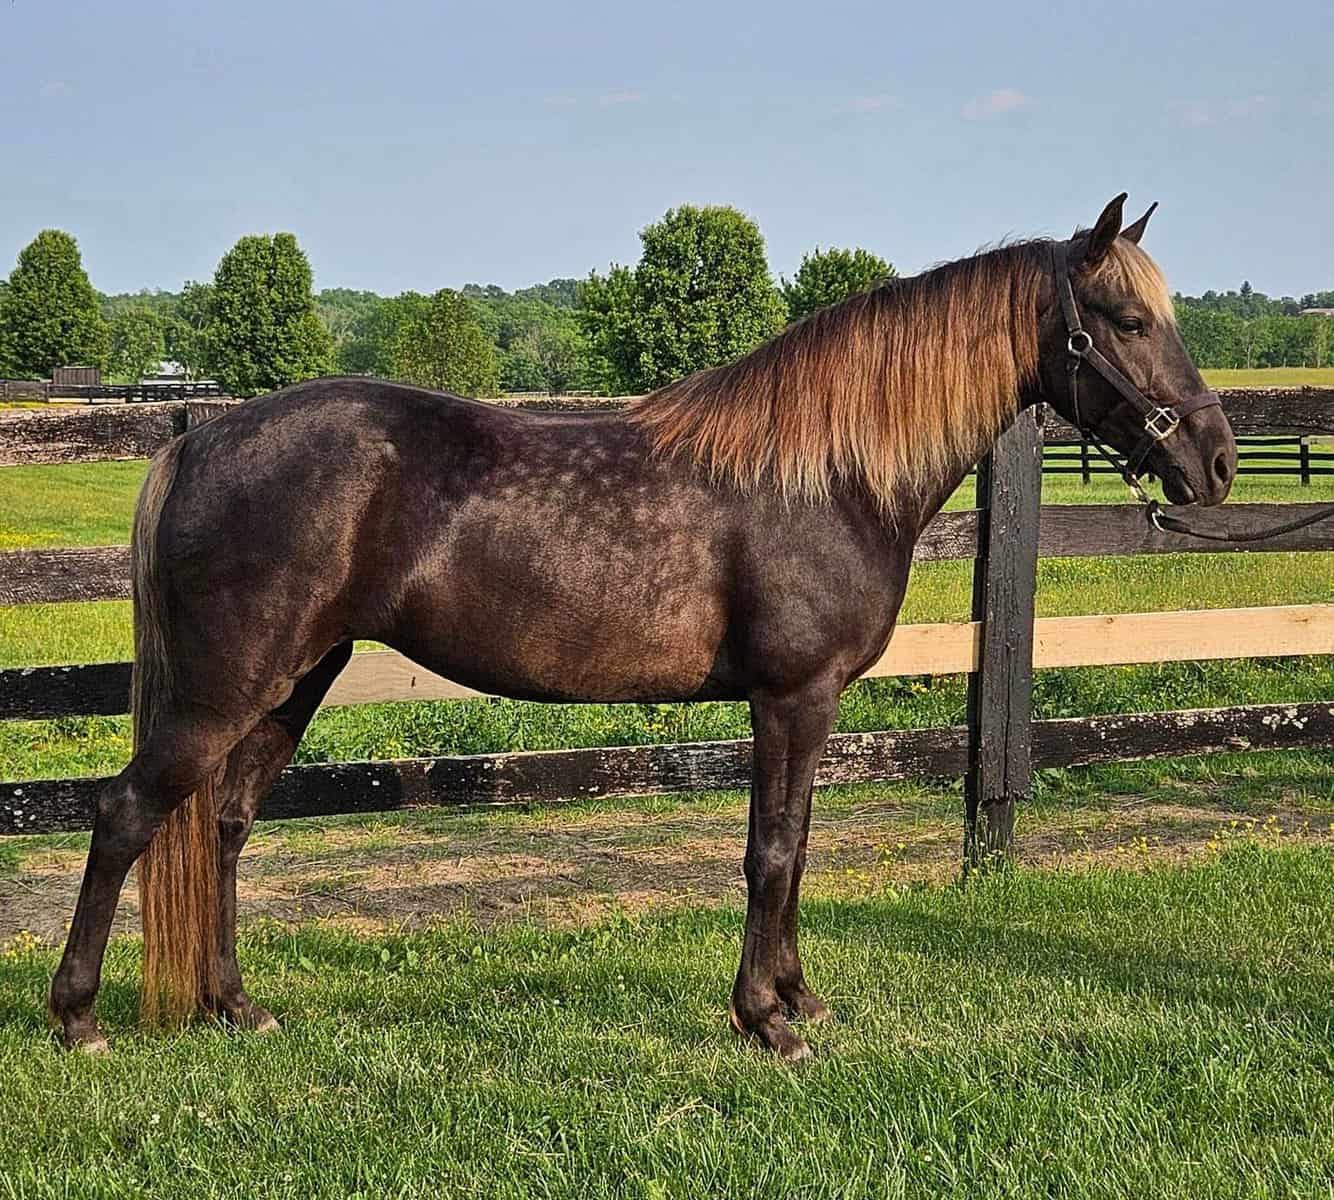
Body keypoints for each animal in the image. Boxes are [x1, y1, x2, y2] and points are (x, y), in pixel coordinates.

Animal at [50, 195, 1236, 1061]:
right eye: (1127, 322)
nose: (1216, 461)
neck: (826, 474)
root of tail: (202, 437)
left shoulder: (805, 705)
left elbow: (797, 846)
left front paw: (798, 1000)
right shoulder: (792, 697)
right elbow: (770, 851)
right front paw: (766, 1023)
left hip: (295, 679)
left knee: (224, 822)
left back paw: (233, 1007)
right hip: (227, 686)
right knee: (126, 814)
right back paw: (78, 1019)